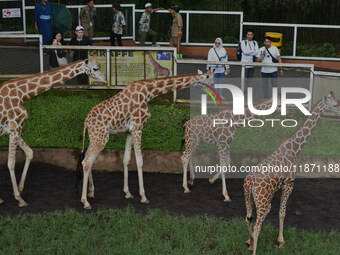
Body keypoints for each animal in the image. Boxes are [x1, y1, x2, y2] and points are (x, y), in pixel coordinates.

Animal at [0, 54, 105, 207]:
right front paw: (19, 199)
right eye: (95, 68)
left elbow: (29, 152)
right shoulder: (14, 128)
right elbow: (11, 163)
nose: (105, 80)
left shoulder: (12, 130)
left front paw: (18, 190)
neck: (22, 94)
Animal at [78, 69, 214, 209]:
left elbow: (126, 159)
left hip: (95, 136)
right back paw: (85, 202)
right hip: (101, 137)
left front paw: (127, 193)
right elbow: (139, 161)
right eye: (210, 78)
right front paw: (143, 196)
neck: (148, 93)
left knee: (87, 157)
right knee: (86, 162)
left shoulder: (130, 131)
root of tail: (86, 121)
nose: (213, 89)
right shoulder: (138, 128)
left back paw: (91, 192)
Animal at [243, 92, 340, 255]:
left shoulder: (276, 190)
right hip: (261, 199)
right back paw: (254, 248)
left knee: (248, 218)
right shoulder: (289, 184)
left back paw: (250, 243)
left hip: (248, 196)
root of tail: (250, 182)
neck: (294, 148)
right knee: (257, 226)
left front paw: (250, 242)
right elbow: (282, 212)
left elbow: (271, 210)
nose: (339, 111)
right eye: (335, 105)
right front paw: (281, 241)